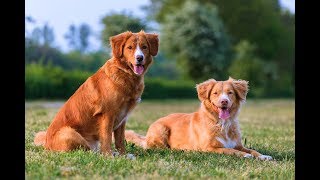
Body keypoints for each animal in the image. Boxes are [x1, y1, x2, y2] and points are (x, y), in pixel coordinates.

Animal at [125, 77, 272, 160]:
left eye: (230, 93)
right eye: (215, 93)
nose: (224, 101)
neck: (222, 123)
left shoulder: (238, 144)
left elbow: (252, 150)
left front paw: (263, 156)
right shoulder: (209, 148)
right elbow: (230, 150)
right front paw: (245, 156)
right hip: (161, 130)